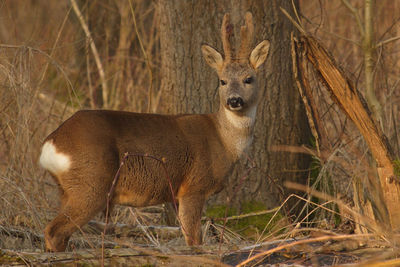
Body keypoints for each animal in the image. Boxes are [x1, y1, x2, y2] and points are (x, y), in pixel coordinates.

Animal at [39, 12, 268, 251]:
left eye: (249, 79)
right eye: (222, 81)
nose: (234, 100)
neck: (223, 141)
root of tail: (51, 143)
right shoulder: (194, 186)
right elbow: (194, 239)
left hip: (67, 189)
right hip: (90, 183)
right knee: (54, 231)